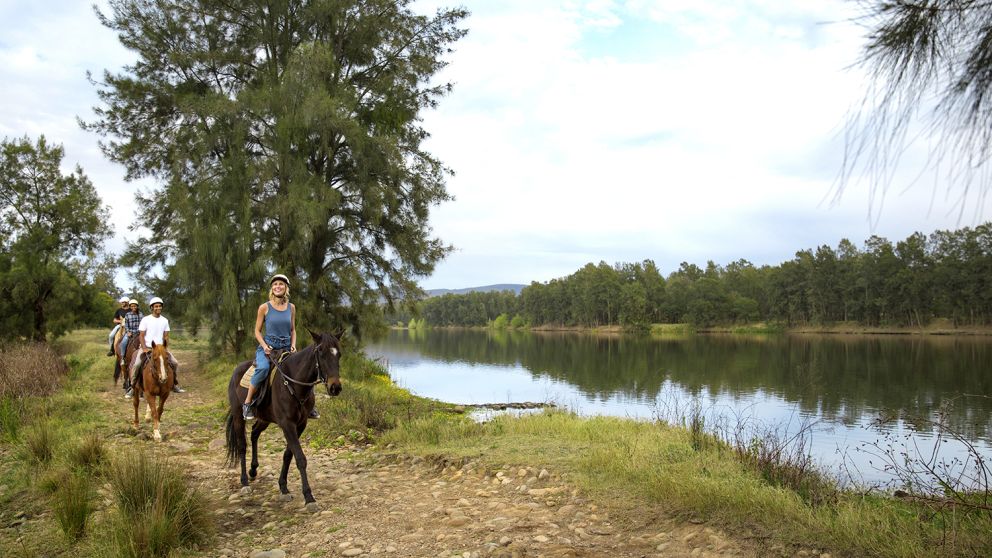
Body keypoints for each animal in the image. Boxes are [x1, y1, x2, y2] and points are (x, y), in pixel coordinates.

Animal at [224, 330, 342, 512]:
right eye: (321, 353)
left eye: (339, 354)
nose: (335, 387)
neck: (295, 384)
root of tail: (237, 370)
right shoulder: (287, 424)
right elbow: (300, 458)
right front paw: (309, 497)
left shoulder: (300, 425)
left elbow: (288, 455)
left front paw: (283, 487)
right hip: (239, 416)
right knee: (242, 445)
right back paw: (244, 482)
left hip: (264, 418)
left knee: (254, 434)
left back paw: (253, 470)